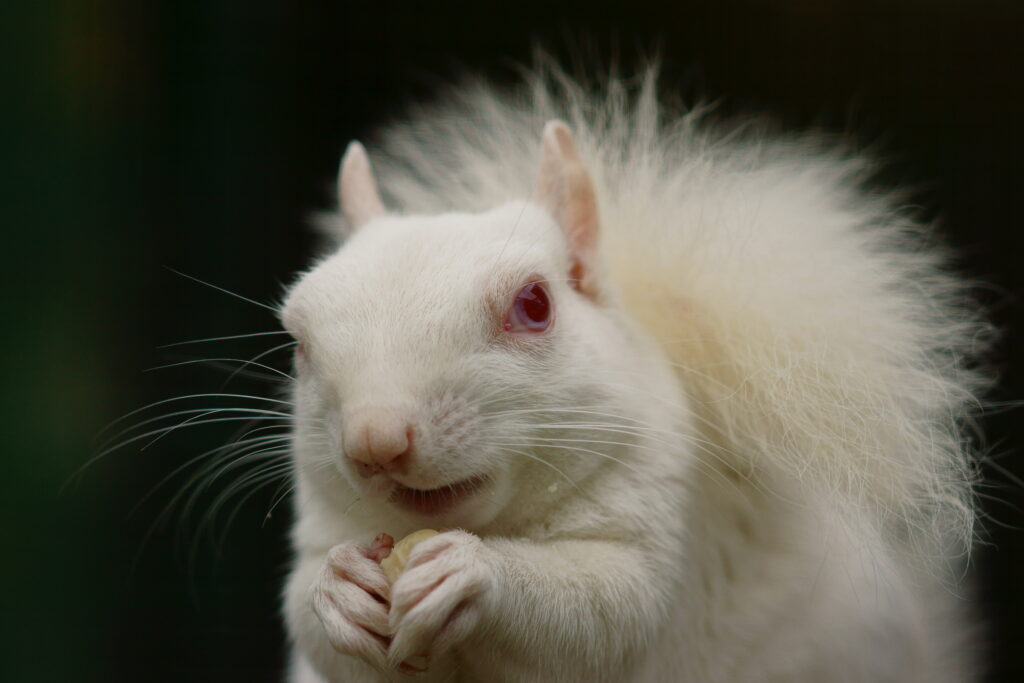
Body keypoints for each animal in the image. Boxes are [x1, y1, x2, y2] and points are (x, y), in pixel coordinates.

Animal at [276, 63, 987, 683]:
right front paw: (337, 590)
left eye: (534, 305)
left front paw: (474, 575)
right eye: (299, 340)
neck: (498, 524)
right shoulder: (323, 527)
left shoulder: (660, 531)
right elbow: (314, 624)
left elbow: (603, 614)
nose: (375, 441)